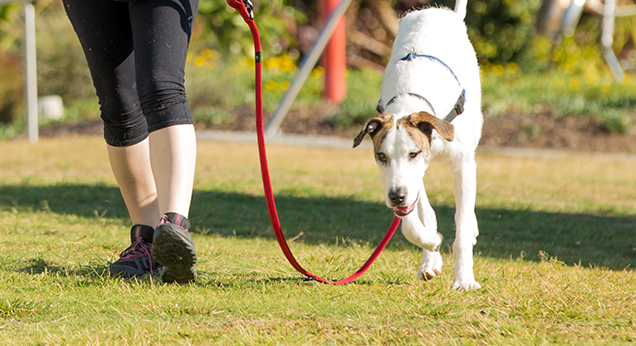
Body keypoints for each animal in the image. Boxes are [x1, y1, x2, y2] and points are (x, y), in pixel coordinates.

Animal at [352, 1, 482, 290]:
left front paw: (464, 279)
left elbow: (461, 225)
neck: (411, 102)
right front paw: (430, 242)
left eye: (413, 152)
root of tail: (438, 11)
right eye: (381, 156)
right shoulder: (407, 175)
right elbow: (411, 216)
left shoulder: (460, 164)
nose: (395, 196)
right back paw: (429, 257)